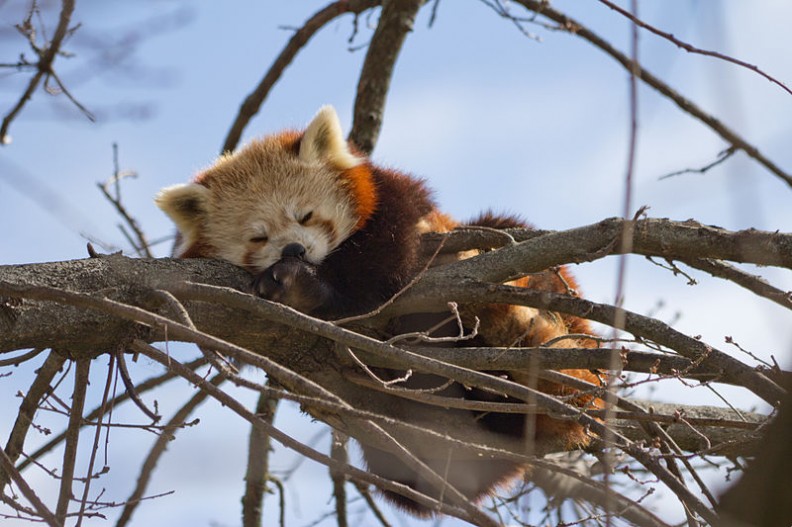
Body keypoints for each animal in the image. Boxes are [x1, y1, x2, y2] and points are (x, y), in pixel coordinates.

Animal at [153, 106, 600, 516]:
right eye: (258, 237)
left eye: (306, 215)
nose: (294, 249)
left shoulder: (399, 206)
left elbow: (379, 269)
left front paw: (306, 289)